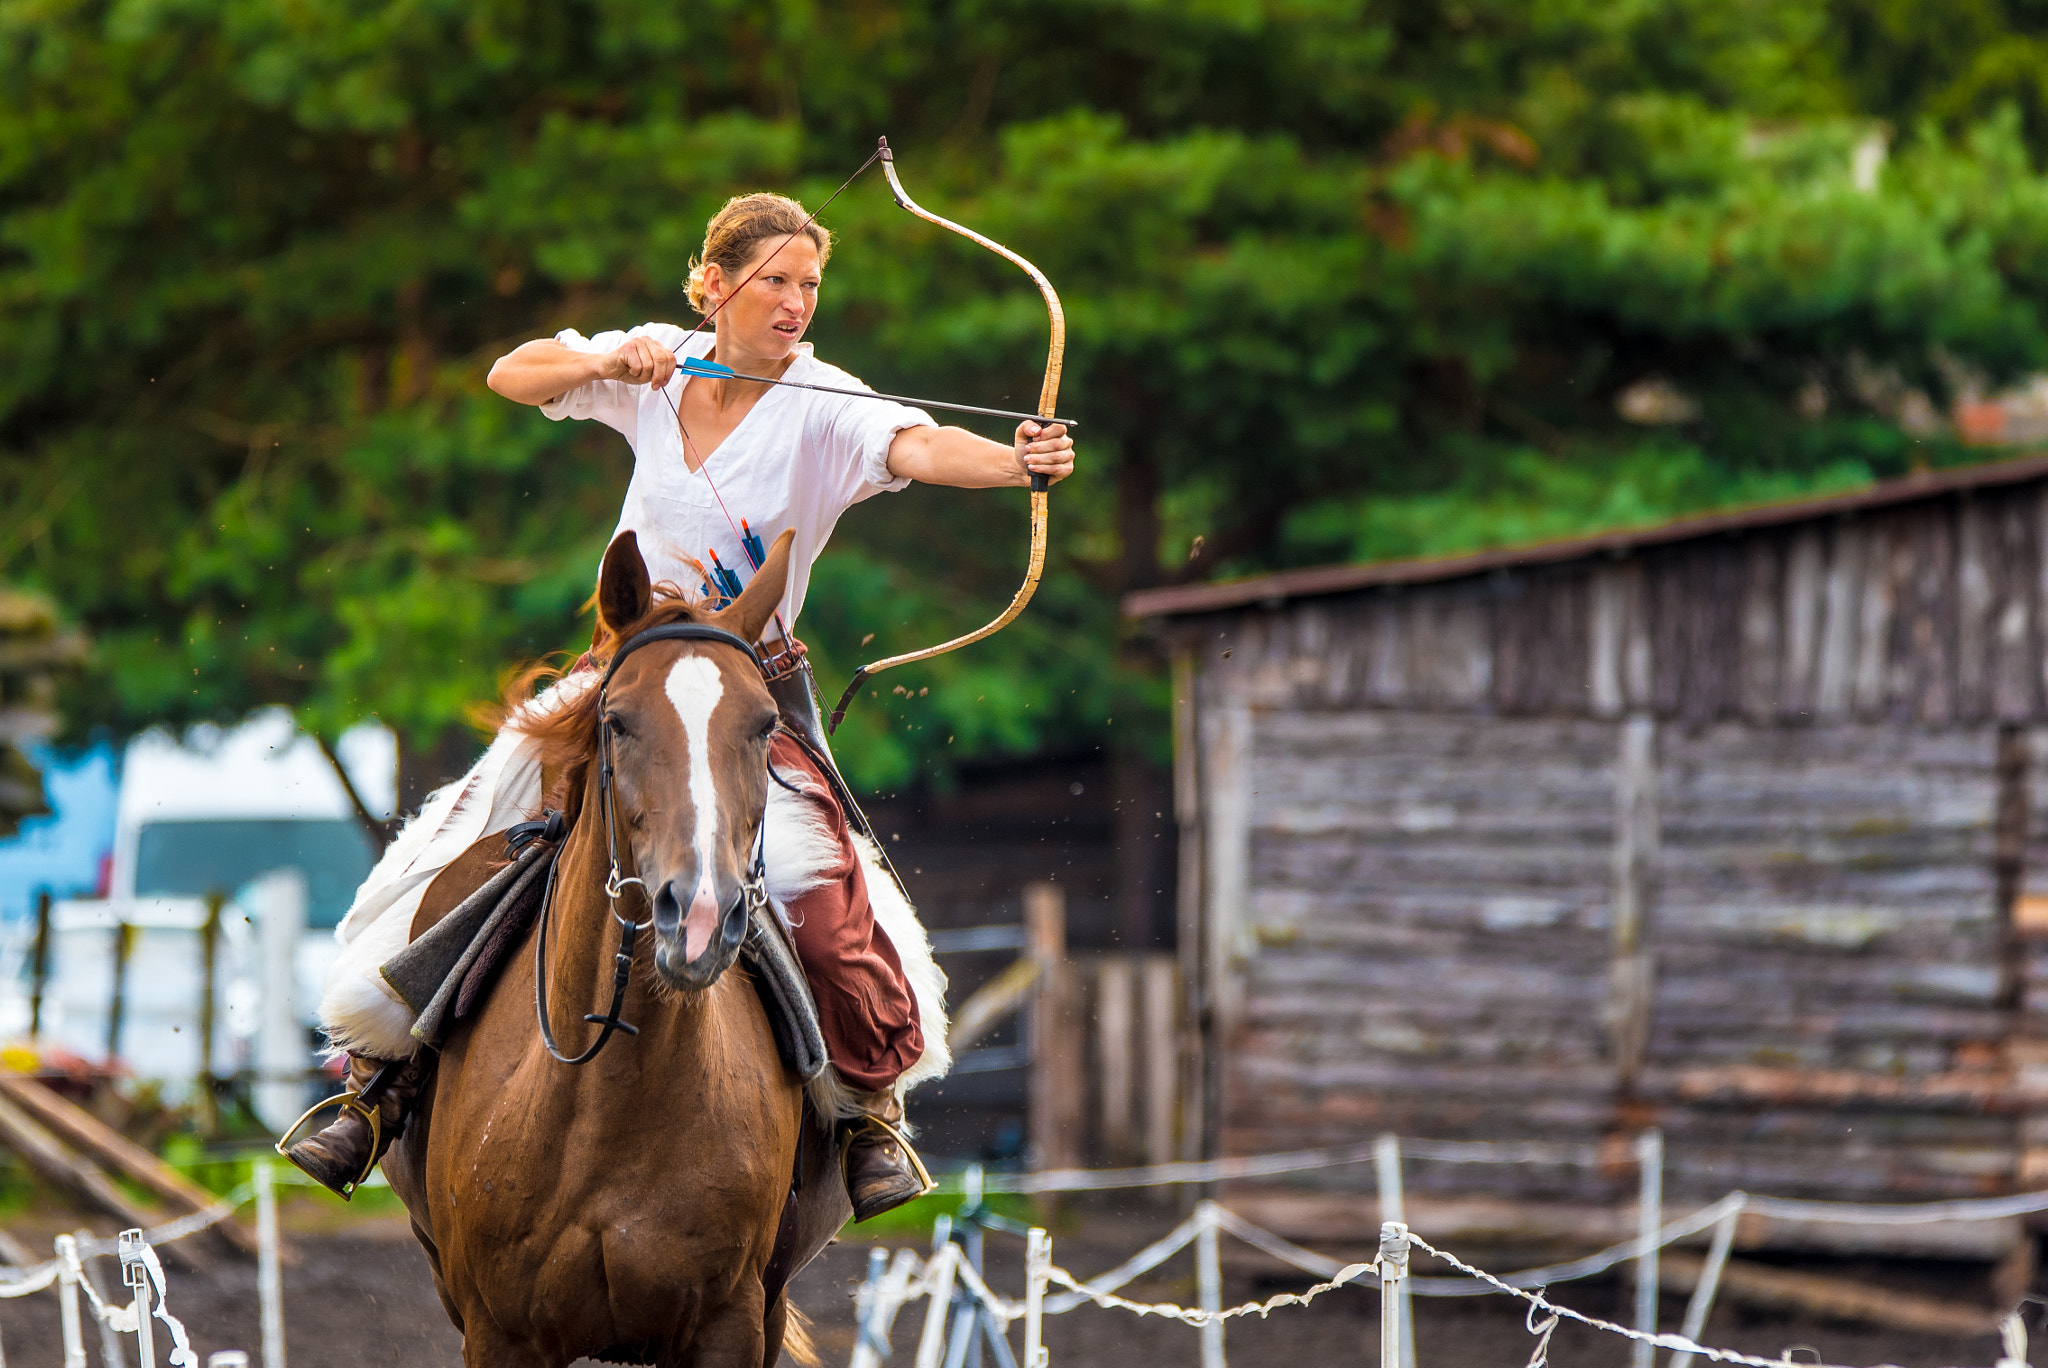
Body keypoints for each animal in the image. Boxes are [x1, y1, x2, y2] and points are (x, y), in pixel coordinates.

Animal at [382, 532, 847, 1368]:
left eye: (765, 724)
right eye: (620, 721)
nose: (700, 916)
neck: (607, 1097)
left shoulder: (728, 1324)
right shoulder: (498, 1332)